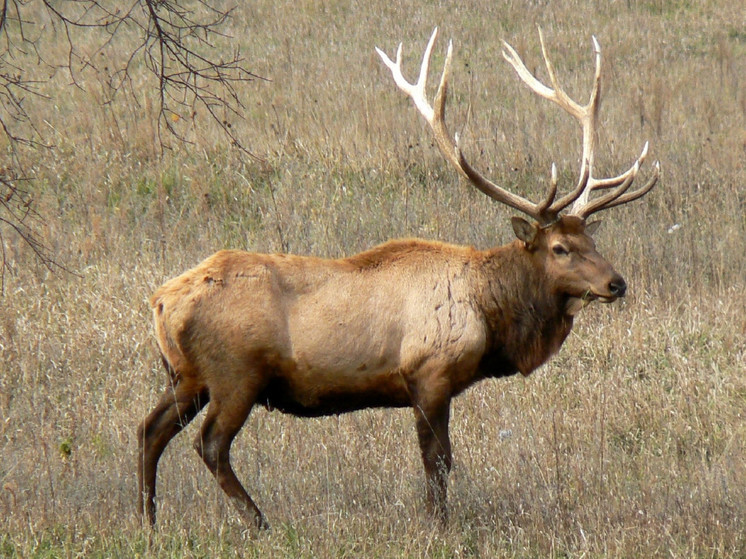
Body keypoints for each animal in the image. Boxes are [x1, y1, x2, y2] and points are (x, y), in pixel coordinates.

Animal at [135, 29, 656, 528]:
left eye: (591, 240)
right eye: (559, 248)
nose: (617, 283)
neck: (490, 316)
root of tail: (160, 301)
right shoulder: (428, 373)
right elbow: (438, 462)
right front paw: (438, 525)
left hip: (187, 375)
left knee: (148, 429)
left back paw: (149, 519)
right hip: (234, 373)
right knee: (210, 444)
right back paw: (258, 522)